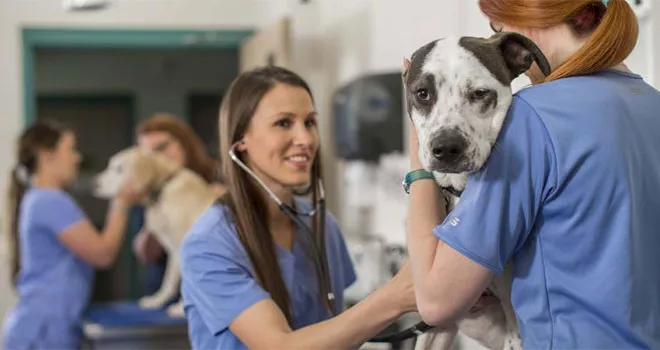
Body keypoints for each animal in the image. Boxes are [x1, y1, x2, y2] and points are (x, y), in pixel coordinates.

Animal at [93, 146, 219, 316]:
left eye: (119, 169)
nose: (93, 183)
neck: (162, 188)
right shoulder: (174, 252)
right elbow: (169, 281)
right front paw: (157, 301)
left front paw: (181, 308)